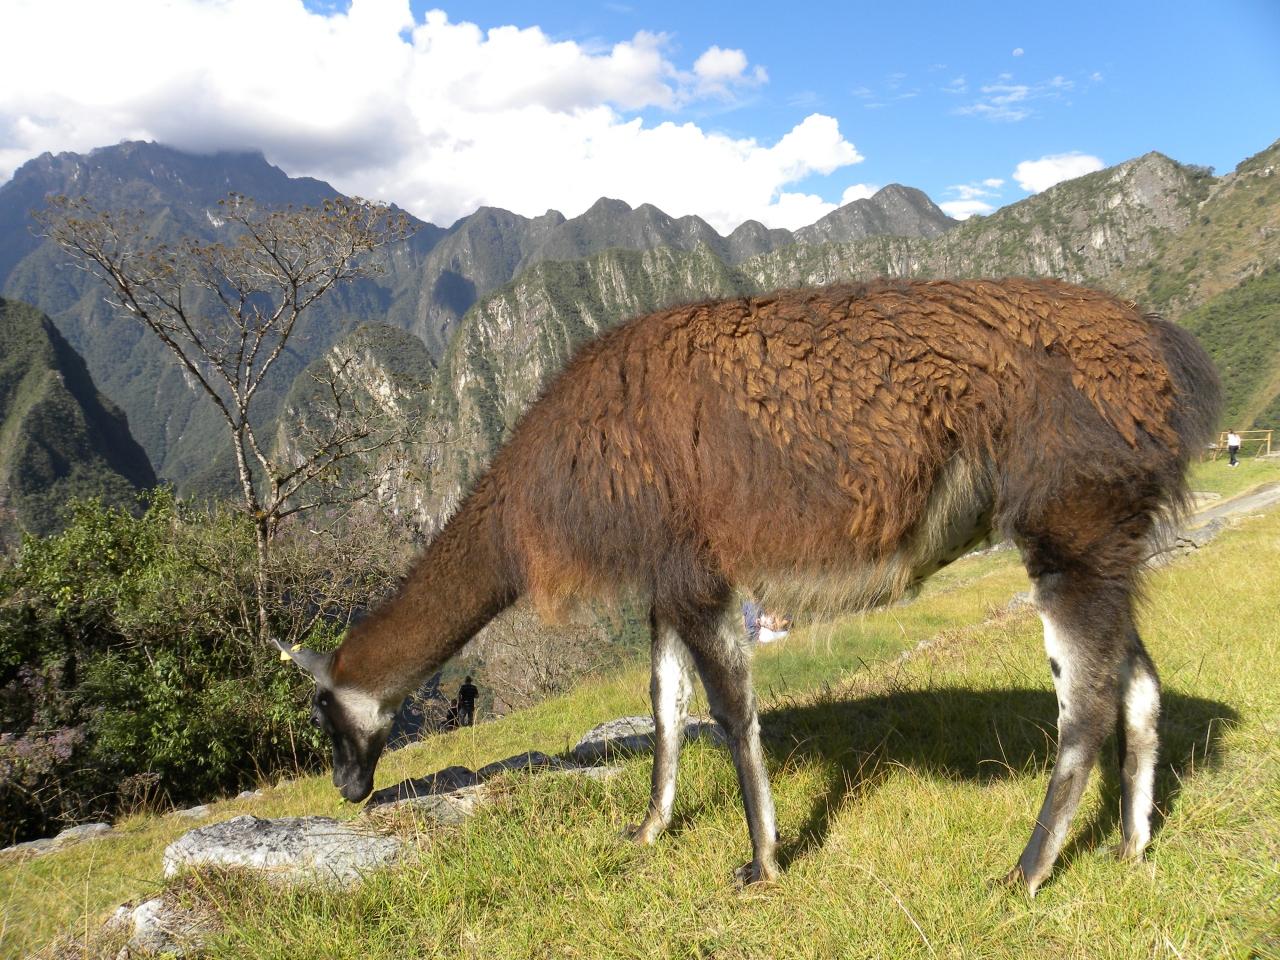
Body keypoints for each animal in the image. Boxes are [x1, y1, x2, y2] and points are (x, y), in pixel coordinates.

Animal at [280, 277, 1219, 895]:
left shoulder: (697, 567)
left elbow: (732, 714)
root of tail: (1169, 356)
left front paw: (762, 862)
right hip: (1102, 540)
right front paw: (648, 829)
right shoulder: (667, 573)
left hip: (1069, 523)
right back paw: (1129, 848)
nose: (347, 790)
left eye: (323, 712)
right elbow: (664, 707)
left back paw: (1023, 872)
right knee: (1138, 683)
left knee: (1085, 706)